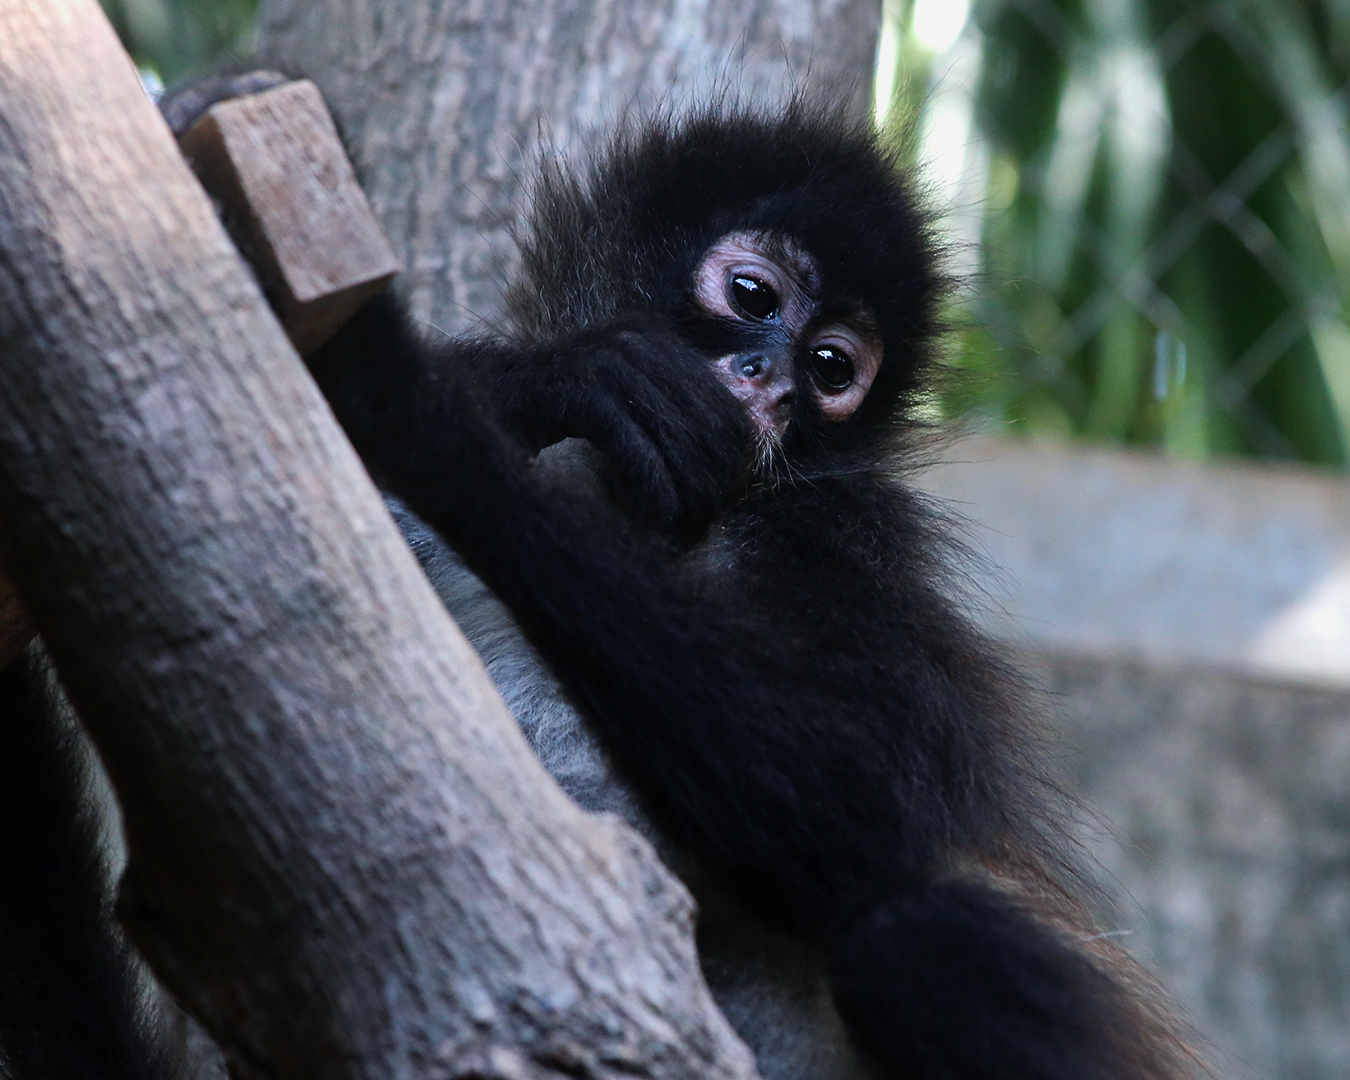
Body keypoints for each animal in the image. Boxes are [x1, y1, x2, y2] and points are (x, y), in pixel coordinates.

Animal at [0, 87, 1205, 1080]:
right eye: (752, 295)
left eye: (832, 370)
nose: (769, 383)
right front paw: (550, 379)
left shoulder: (837, 524)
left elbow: (861, 800)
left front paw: (411, 391)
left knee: (927, 934)